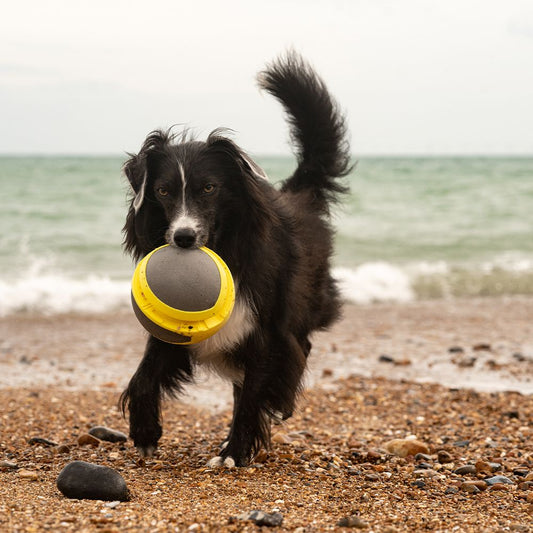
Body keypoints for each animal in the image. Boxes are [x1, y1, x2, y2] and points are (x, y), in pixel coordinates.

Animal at [121, 51, 352, 466]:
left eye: (209, 188)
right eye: (162, 191)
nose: (182, 237)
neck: (227, 246)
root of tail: (299, 193)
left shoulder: (266, 328)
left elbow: (255, 390)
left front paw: (235, 452)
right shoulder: (171, 331)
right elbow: (145, 373)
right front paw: (145, 431)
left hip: (307, 300)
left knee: (299, 348)